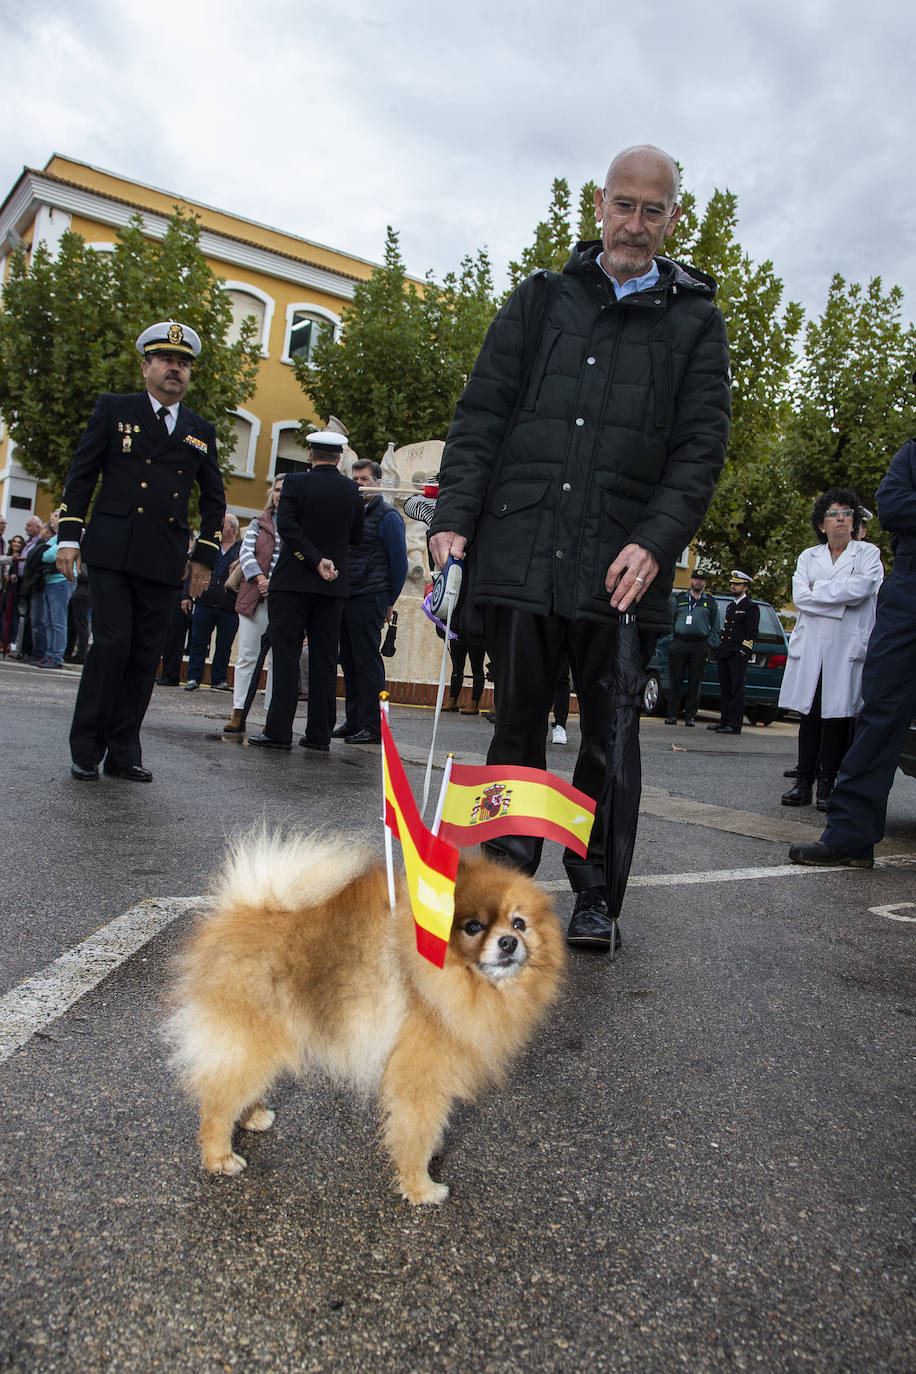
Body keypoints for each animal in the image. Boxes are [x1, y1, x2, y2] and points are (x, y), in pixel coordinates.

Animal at [166, 824, 565, 1203]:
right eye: (473, 927)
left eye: (519, 923)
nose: (509, 942)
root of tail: (239, 911)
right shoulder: (418, 1076)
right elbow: (414, 1132)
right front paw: (421, 1187)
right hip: (250, 1039)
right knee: (218, 1101)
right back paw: (219, 1157)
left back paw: (253, 1117)